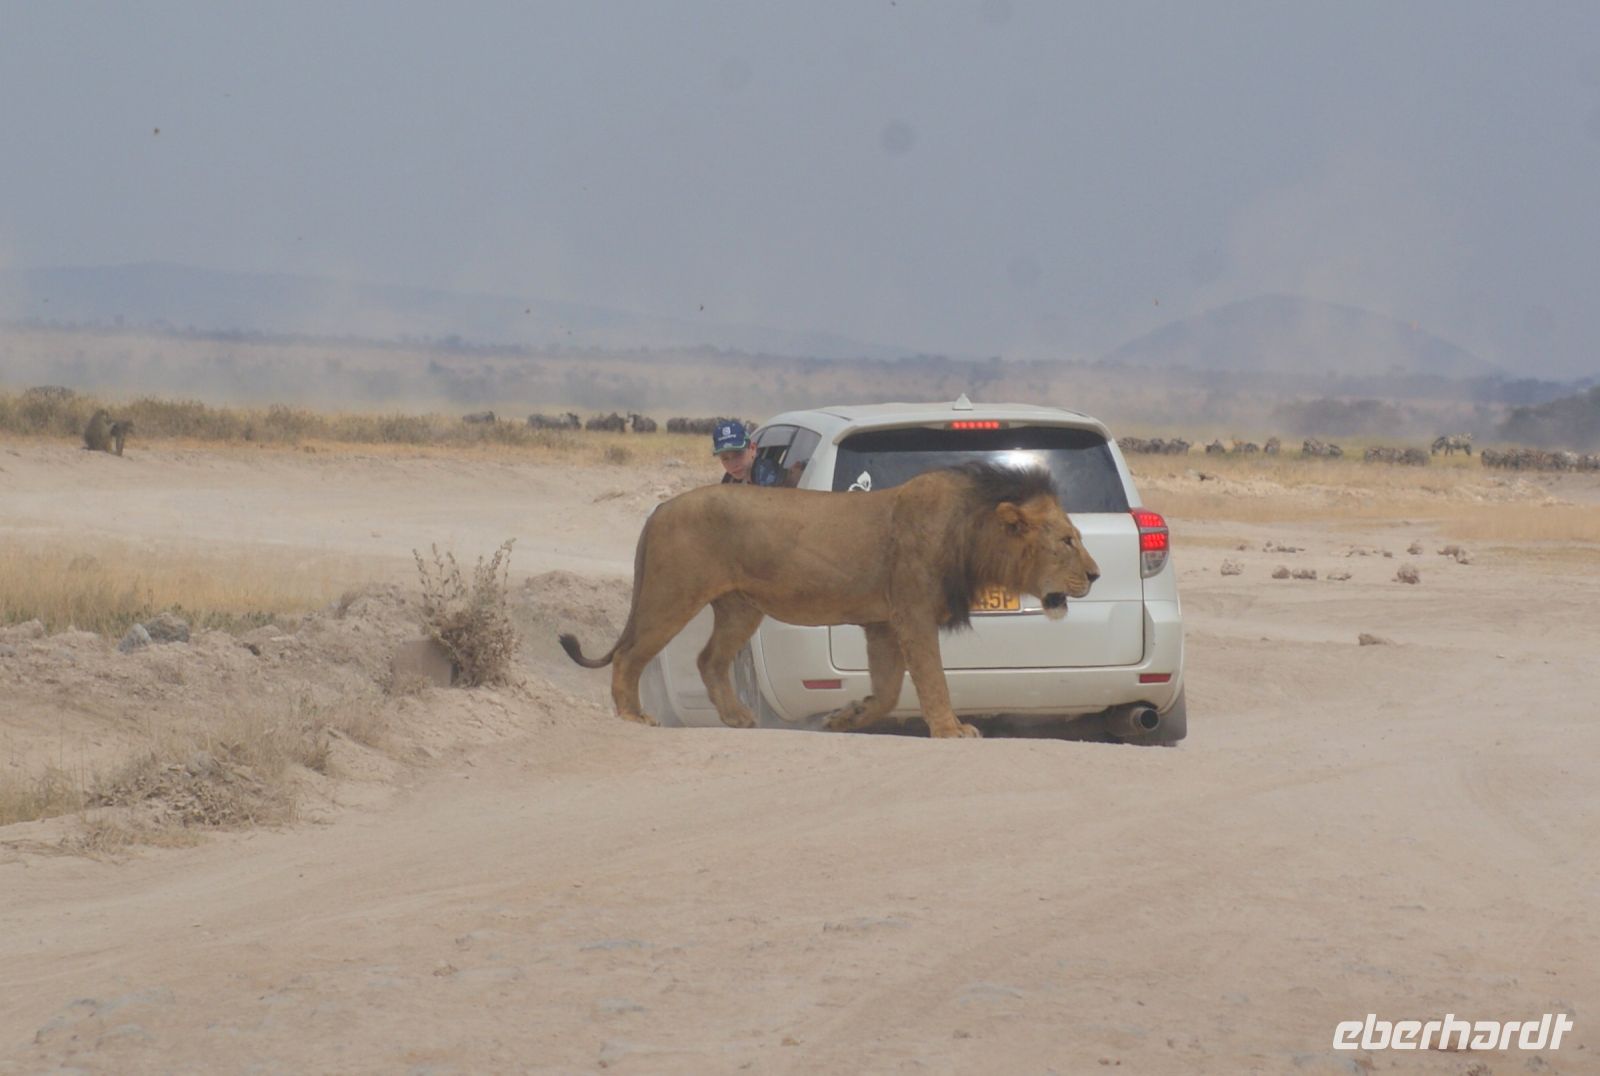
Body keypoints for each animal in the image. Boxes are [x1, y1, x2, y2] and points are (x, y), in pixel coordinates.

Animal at [559, 462, 1101, 738]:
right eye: (1066, 541)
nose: (1095, 575)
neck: (972, 532)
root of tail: (659, 509)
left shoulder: (883, 623)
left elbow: (888, 691)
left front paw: (848, 716)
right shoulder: (912, 613)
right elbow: (932, 679)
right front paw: (951, 729)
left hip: (740, 607)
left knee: (709, 659)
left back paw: (737, 718)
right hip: (673, 594)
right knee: (631, 654)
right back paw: (633, 716)